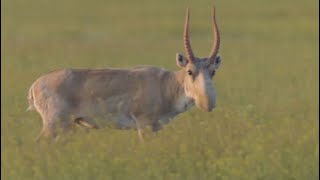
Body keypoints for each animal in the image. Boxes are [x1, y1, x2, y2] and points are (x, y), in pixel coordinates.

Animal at [26, 6, 222, 142]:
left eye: (213, 71)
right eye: (190, 71)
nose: (208, 104)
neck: (166, 83)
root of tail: (35, 85)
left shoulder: (155, 128)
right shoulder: (144, 125)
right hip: (54, 124)